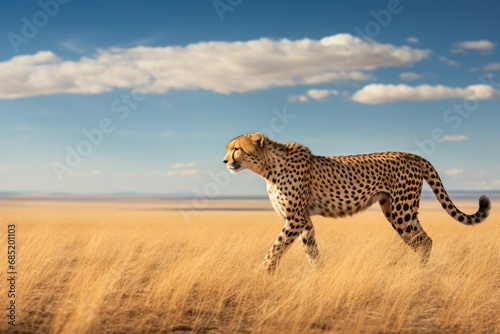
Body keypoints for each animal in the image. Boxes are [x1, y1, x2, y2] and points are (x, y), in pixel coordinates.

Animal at [224, 132, 492, 272]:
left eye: (236, 149)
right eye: (229, 148)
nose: (224, 161)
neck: (267, 167)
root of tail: (414, 155)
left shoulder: (295, 218)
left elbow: (275, 248)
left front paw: (262, 273)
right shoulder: (304, 220)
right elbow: (311, 249)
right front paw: (318, 275)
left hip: (401, 211)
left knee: (423, 241)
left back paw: (420, 276)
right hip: (394, 209)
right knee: (423, 240)